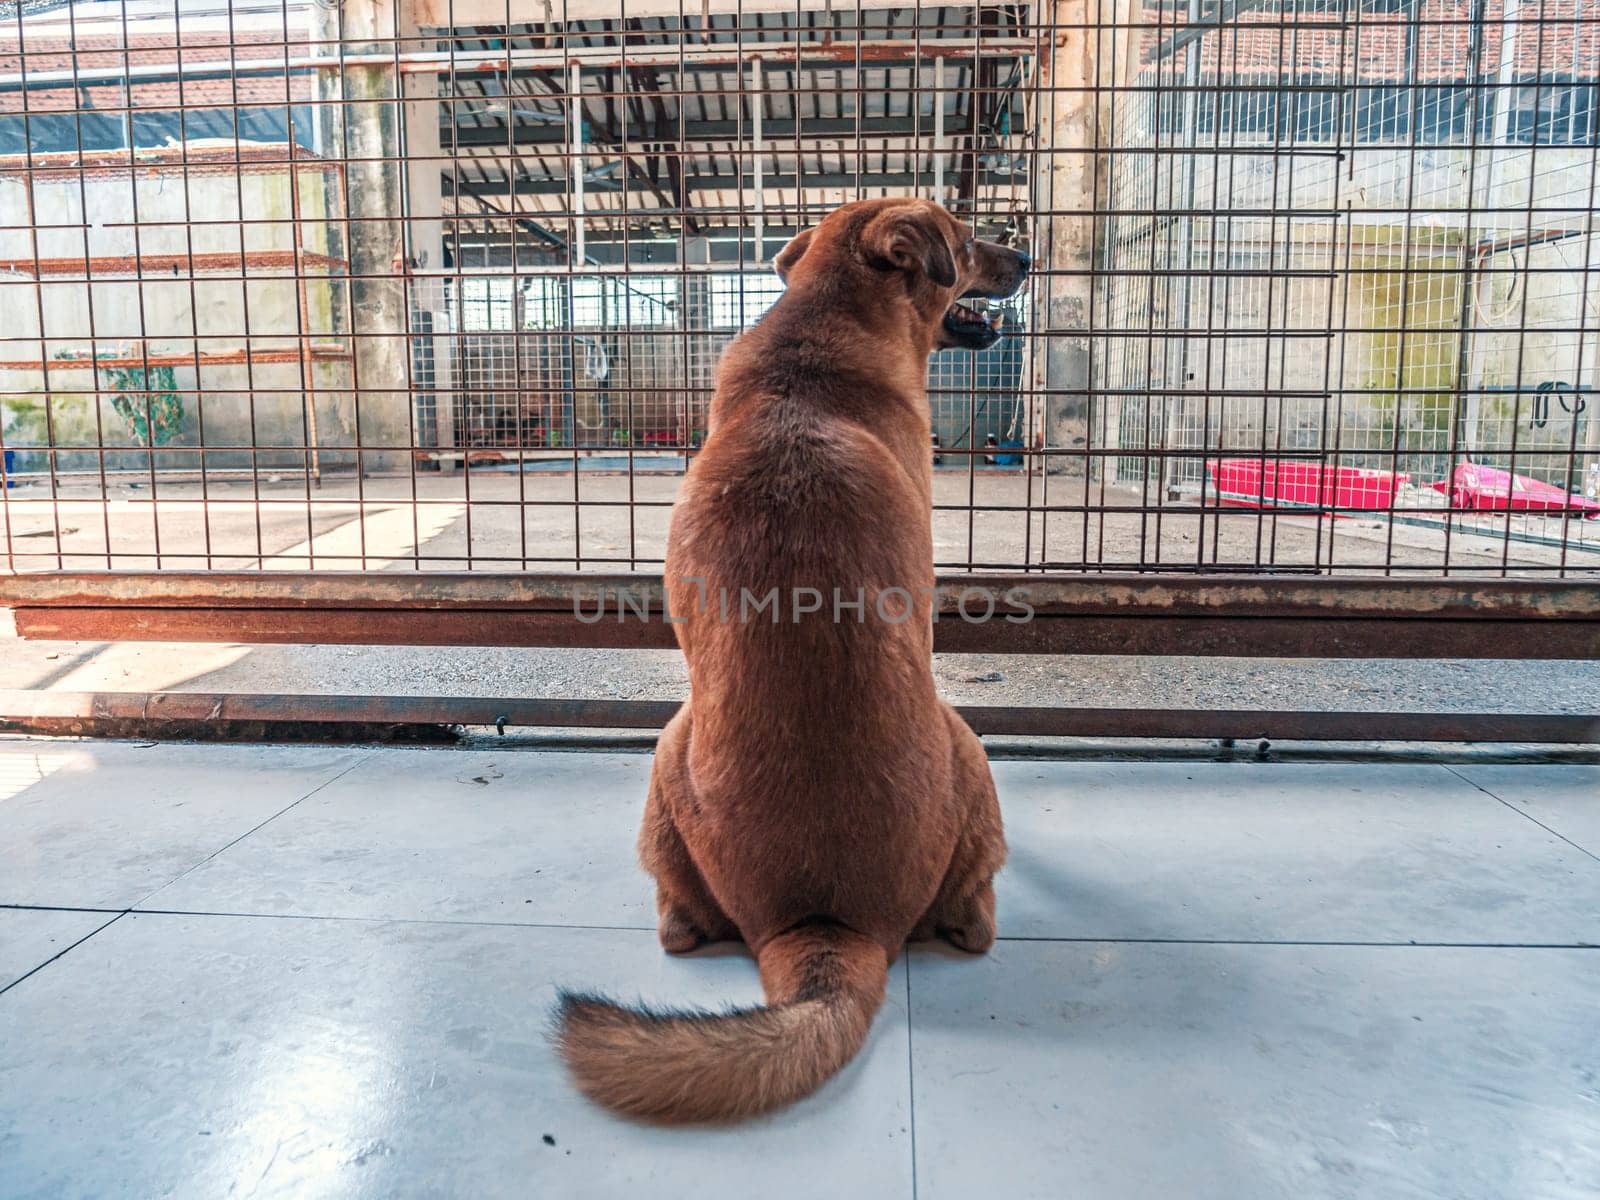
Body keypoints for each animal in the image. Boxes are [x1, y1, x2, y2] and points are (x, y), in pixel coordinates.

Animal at [556, 200, 1030, 1126]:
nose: (1026, 257)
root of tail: (829, 925)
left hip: (668, 749)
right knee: (975, 922)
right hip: (966, 743)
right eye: (965, 240)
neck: (815, 340)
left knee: (678, 927)